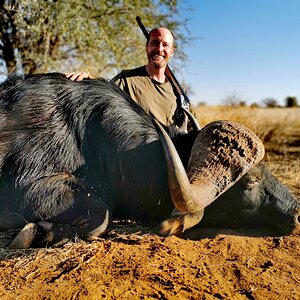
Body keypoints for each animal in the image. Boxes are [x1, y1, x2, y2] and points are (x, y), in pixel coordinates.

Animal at [0, 73, 298, 248]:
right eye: (251, 181)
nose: (296, 211)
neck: (91, 136)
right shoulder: (29, 186)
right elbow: (102, 216)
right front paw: (38, 232)